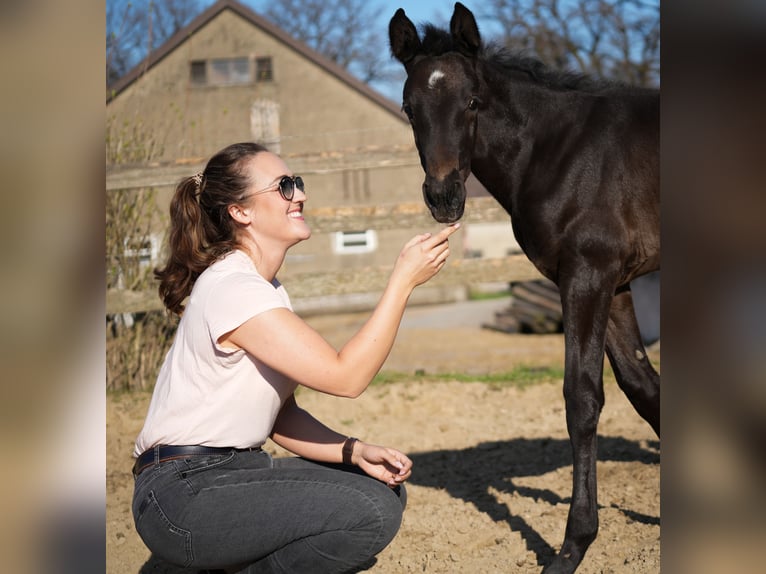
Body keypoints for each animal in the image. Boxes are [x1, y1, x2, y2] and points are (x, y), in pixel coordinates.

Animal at [389, 4, 659, 573]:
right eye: (408, 106)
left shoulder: (587, 276)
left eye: (472, 102)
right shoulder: (615, 283)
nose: (444, 198)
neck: (559, 152)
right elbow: (643, 388)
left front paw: (572, 547)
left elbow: (582, 398)